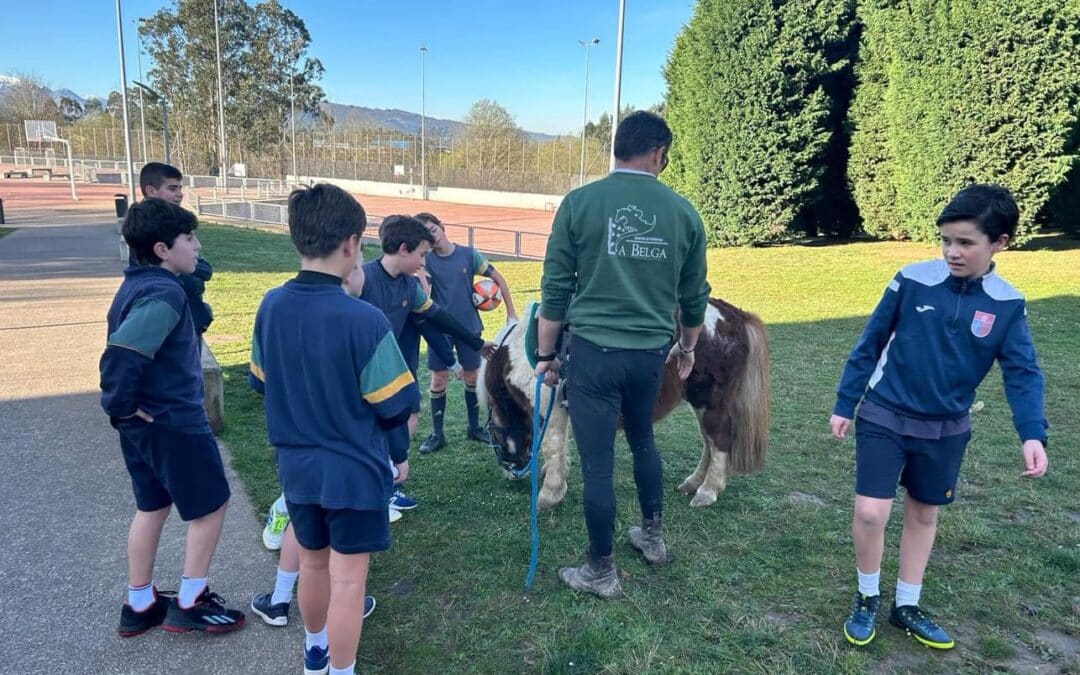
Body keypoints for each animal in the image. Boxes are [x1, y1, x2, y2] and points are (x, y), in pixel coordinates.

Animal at [477, 298, 773, 507]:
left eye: (492, 433)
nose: (511, 471)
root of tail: (735, 316)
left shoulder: (550, 407)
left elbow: (552, 446)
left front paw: (549, 494)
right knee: (708, 443)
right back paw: (693, 483)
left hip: (710, 401)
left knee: (719, 441)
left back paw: (708, 491)